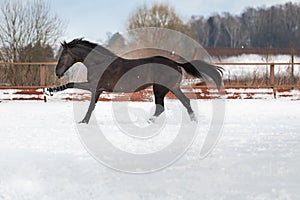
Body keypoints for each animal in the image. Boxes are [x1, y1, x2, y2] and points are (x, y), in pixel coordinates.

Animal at [47, 38, 223, 123]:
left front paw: (49, 91)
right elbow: (91, 106)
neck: (99, 63)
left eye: (62, 56)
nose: (57, 72)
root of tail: (176, 64)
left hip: (160, 88)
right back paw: (193, 121)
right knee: (183, 103)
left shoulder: (93, 86)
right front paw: (84, 121)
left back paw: (148, 122)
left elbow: (74, 89)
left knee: (163, 107)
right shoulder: (97, 90)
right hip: (170, 88)